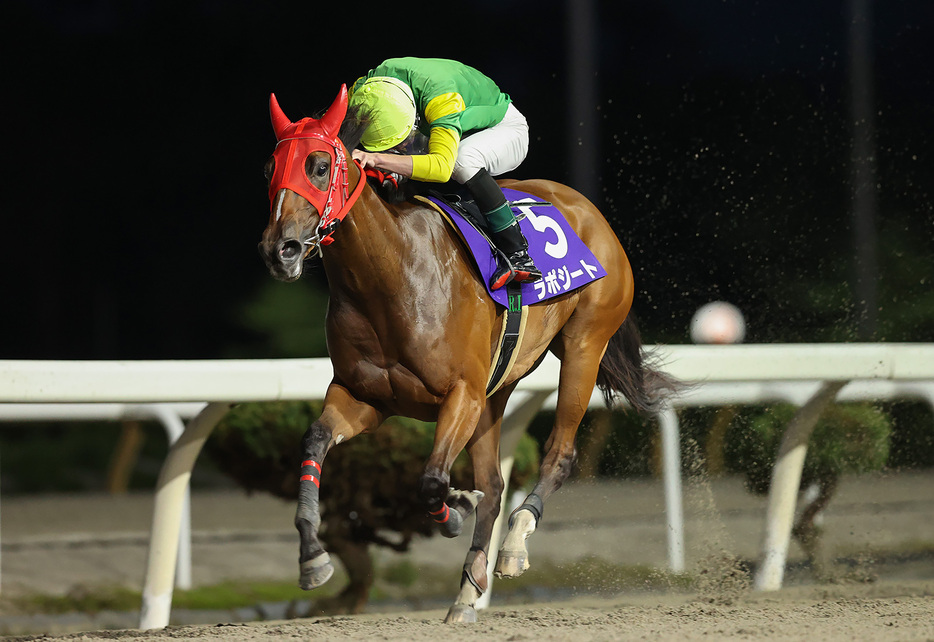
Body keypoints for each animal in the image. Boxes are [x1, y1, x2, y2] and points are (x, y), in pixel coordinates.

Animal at [260, 84, 676, 620]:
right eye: (268, 168)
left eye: (318, 165)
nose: (280, 250)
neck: (390, 278)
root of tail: (590, 211)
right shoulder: (365, 397)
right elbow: (313, 441)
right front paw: (313, 556)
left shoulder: (462, 395)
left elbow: (432, 479)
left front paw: (454, 512)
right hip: (499, 386)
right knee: (495, 485)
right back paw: (466, 590)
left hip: (584, 345)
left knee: (559, 453)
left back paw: (514, 545)